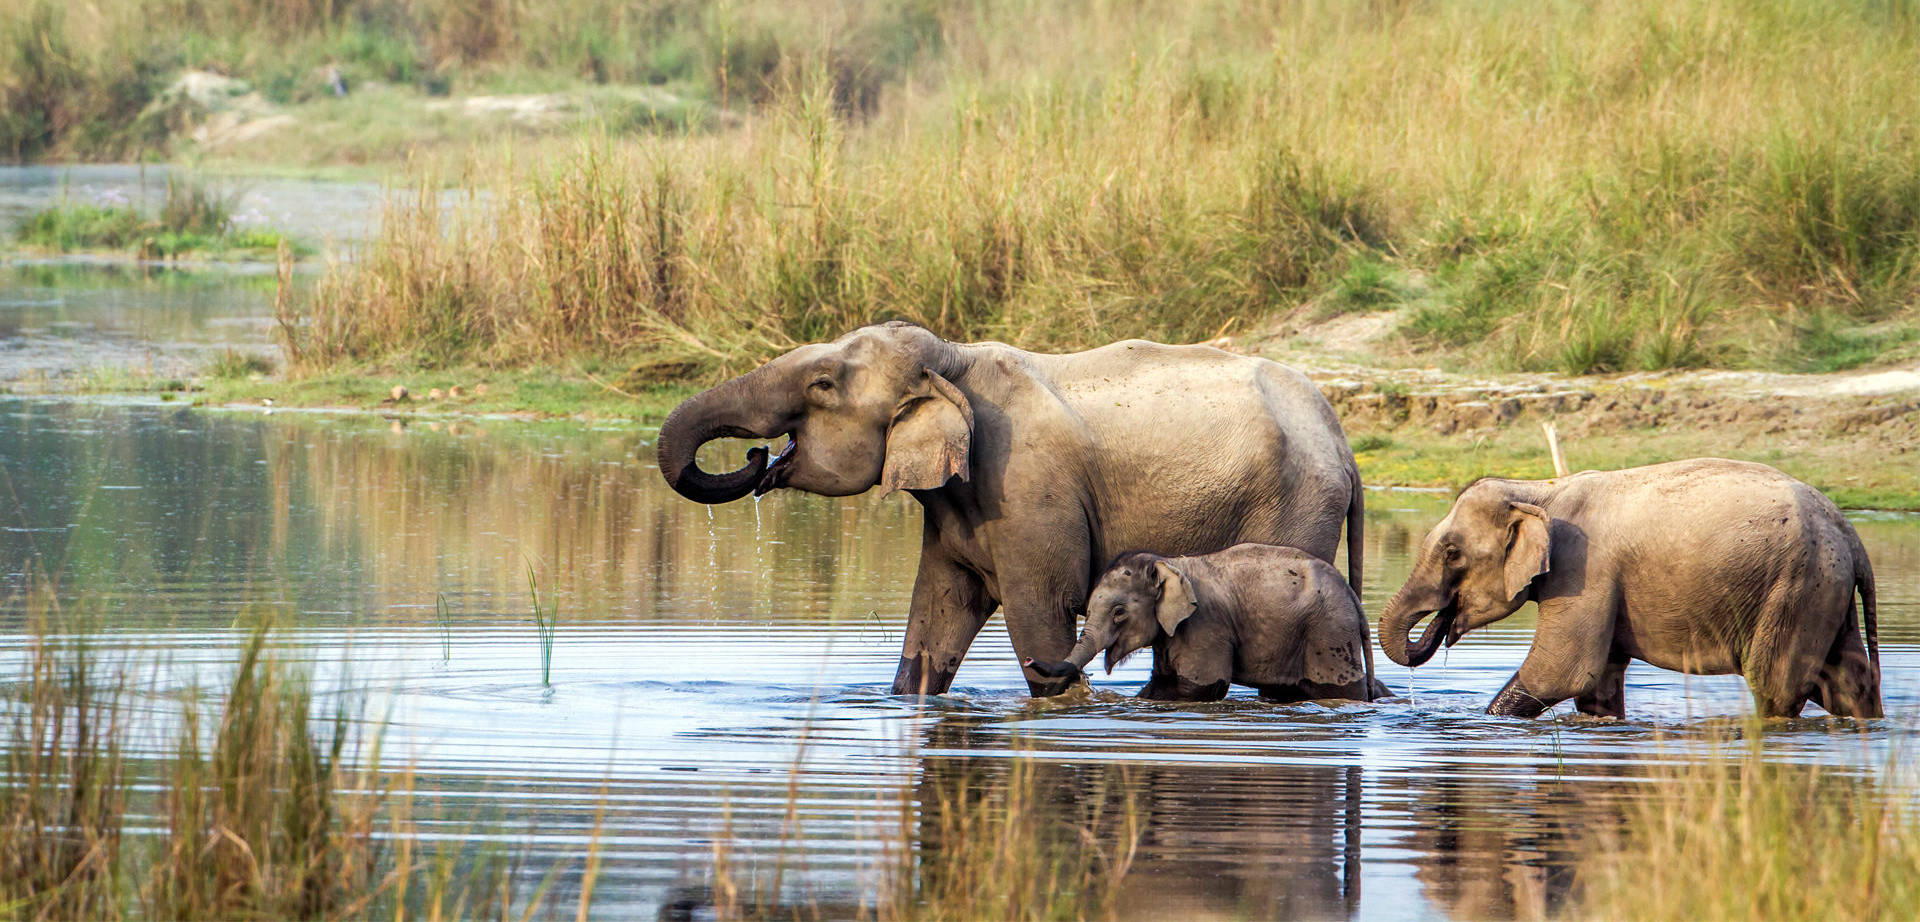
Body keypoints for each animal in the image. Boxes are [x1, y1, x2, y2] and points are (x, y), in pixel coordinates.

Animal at [660, 320, 1367, 695]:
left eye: (822, 385)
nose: (757, 457)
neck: (954, 362)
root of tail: (1343, 443)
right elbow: (935, 618)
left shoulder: (1028, 493)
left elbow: (1039, 618)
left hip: (1296, 506)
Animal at [1029, 545, 1390, 703]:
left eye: (1119, 612)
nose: (1030, 659)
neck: (1167, 563)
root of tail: (1352, 596)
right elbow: (1161, 684)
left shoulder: (1204, 625)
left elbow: (1200, 687)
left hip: (1329, 634)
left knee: (1336, 689)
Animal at [1382, 461, 1873, 722]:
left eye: (1452, 553)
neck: (1540, 491)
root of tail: (1851, 535)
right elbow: (1596, 687)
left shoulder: (1584, 571)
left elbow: (1560, 672)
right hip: (1824, 591)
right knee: (1848, 682)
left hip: (1795, 588)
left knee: (1775, 687)